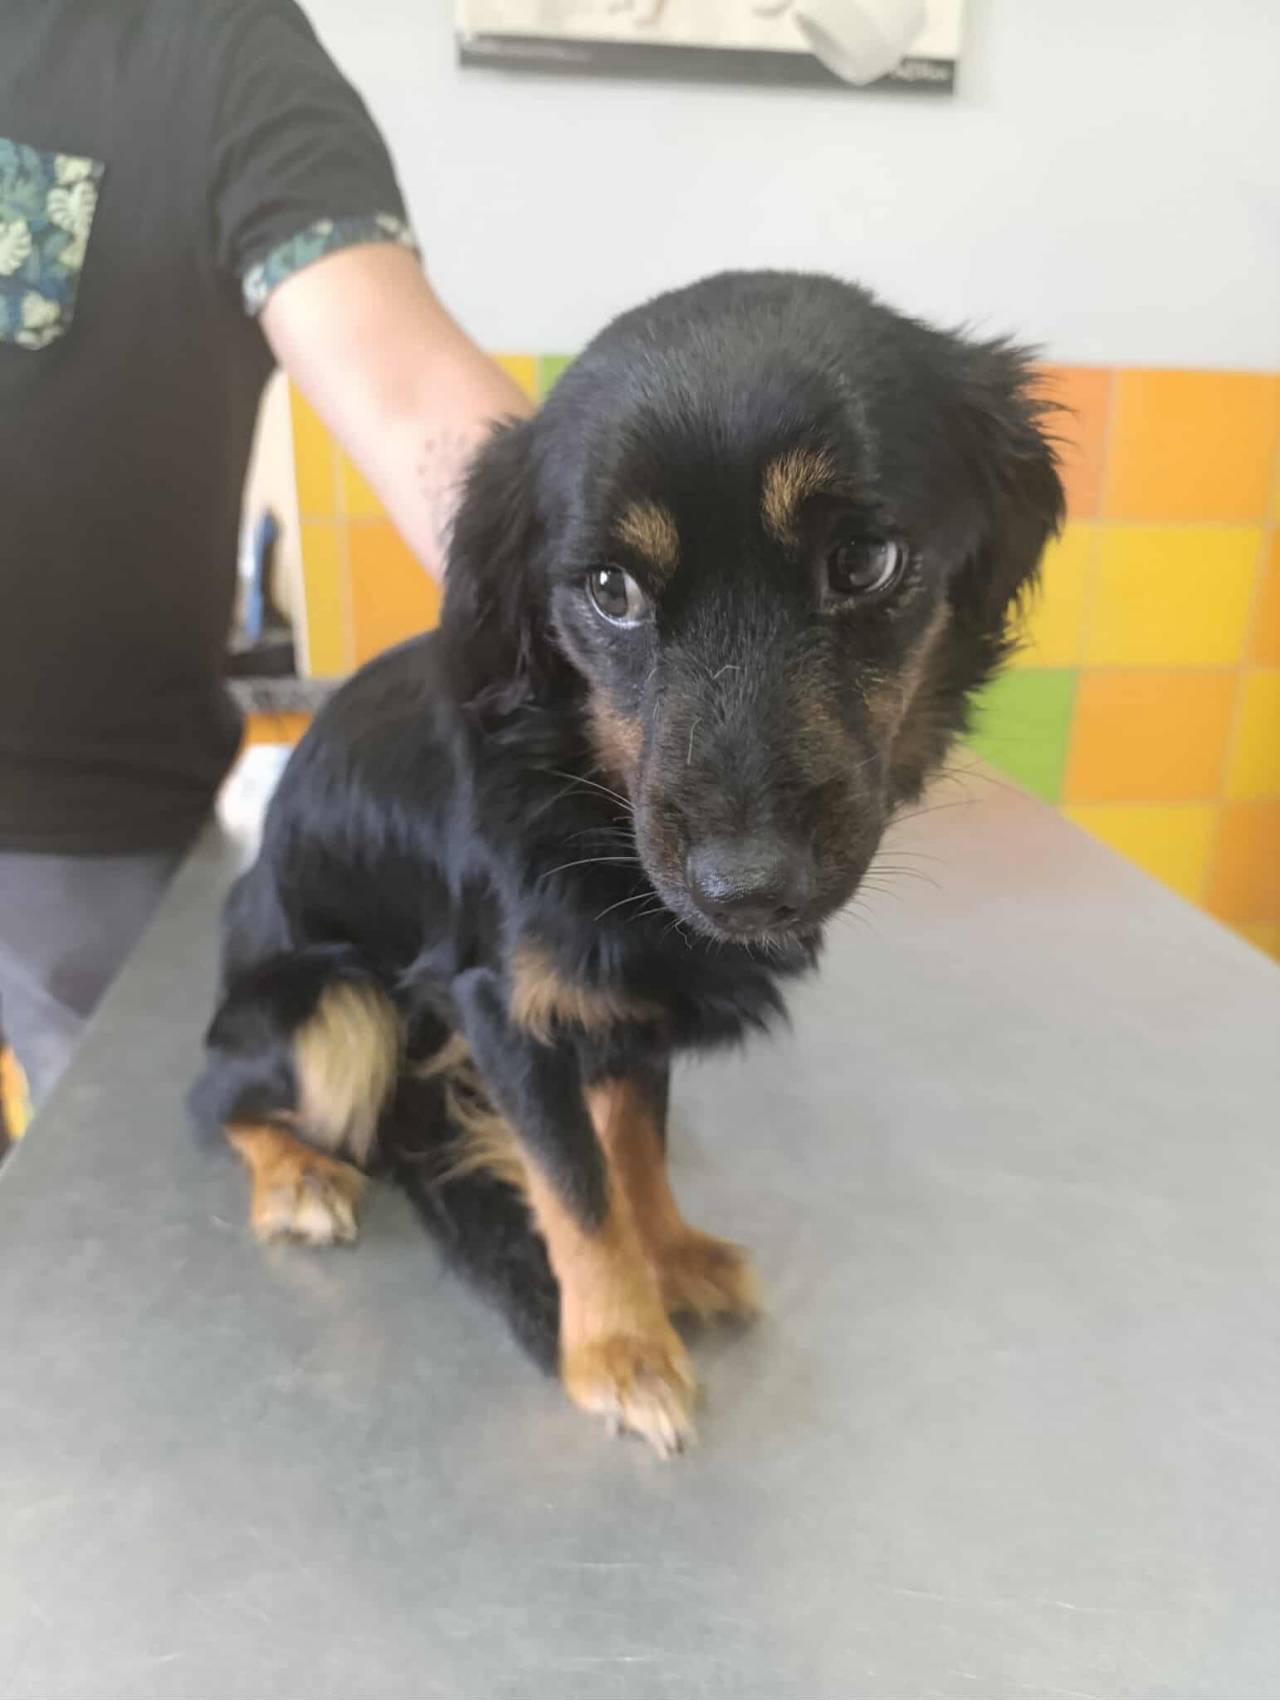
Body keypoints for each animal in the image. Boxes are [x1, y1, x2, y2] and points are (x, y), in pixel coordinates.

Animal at [192, 271, 1063, 1455]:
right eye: (610, 588)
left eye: (863, 561)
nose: (746, 887)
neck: (583, 785)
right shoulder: (502, 1005)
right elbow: (577, 1189)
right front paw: (617, 1347)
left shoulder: (632, 1001)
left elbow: (631, 1146)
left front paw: (672, 1256)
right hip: (334, 1003)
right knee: (218, 1098)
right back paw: (296, 1176)